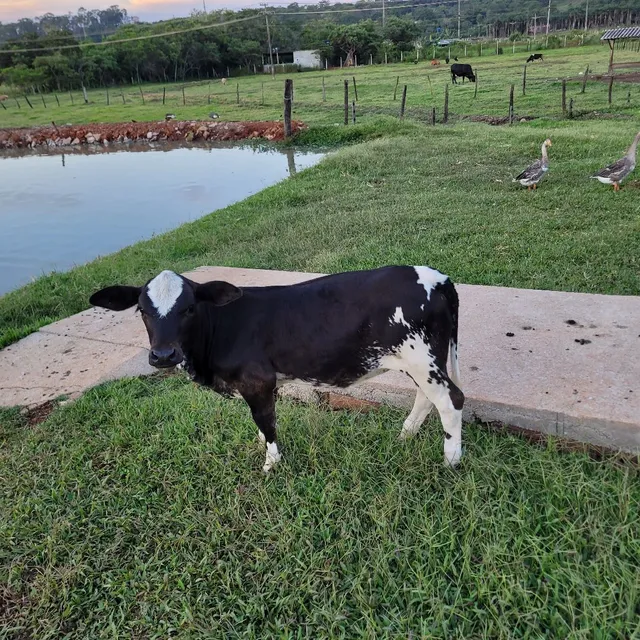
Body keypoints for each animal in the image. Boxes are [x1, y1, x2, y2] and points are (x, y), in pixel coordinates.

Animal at [90, 266, 464, 473]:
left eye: (189, 308)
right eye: (141, 310)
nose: (164, 355)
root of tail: (437, 277)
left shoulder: (257, 381)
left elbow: (266, 421)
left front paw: (270, 463)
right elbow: (262, 422)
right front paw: (260, 444)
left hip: (421, 357)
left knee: (452, 400)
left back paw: (450, 460)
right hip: (421, 360)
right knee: (426, 397)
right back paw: (405, 436)